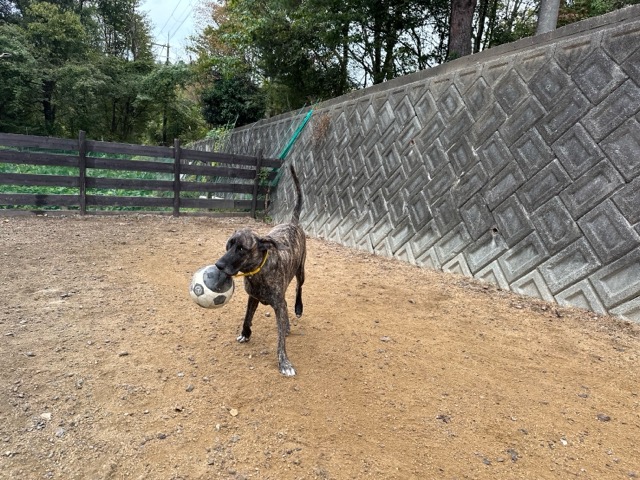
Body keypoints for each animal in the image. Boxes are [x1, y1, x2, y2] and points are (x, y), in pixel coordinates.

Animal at [215, 165, 305, 376]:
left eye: (241, 249)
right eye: (229, 244)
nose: (218, 265)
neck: (258, 271)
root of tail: (292, 223)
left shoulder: (276, 304)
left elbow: (280, 341)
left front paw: (284, 362)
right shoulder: (253, 297)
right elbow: (247, 318)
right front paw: (245, 334)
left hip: (301, 270)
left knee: (298, 289)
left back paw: (298, 308)